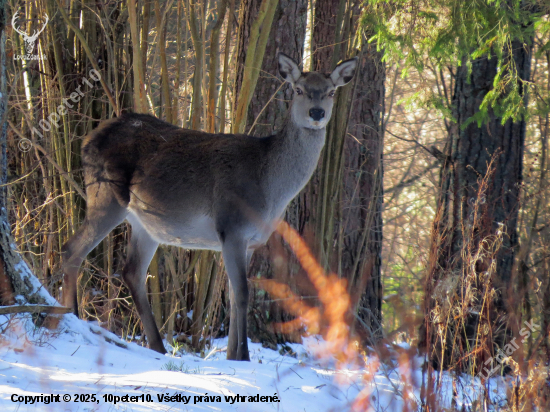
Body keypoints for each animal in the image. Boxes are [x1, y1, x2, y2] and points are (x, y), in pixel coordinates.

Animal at [61, 53, 358, 358]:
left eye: (331, 92)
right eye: (298, 89)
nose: (316, 113)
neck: (270, 190)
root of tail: (86, 141)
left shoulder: (251, 241)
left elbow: (234, 294)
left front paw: (233, 357)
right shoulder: (232, 226)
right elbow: (242, 294)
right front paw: (243, 356)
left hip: (145, 223)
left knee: (131, 271)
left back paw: (157, 347)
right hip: (104, 196)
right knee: (72, 248)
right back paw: (71, 316)